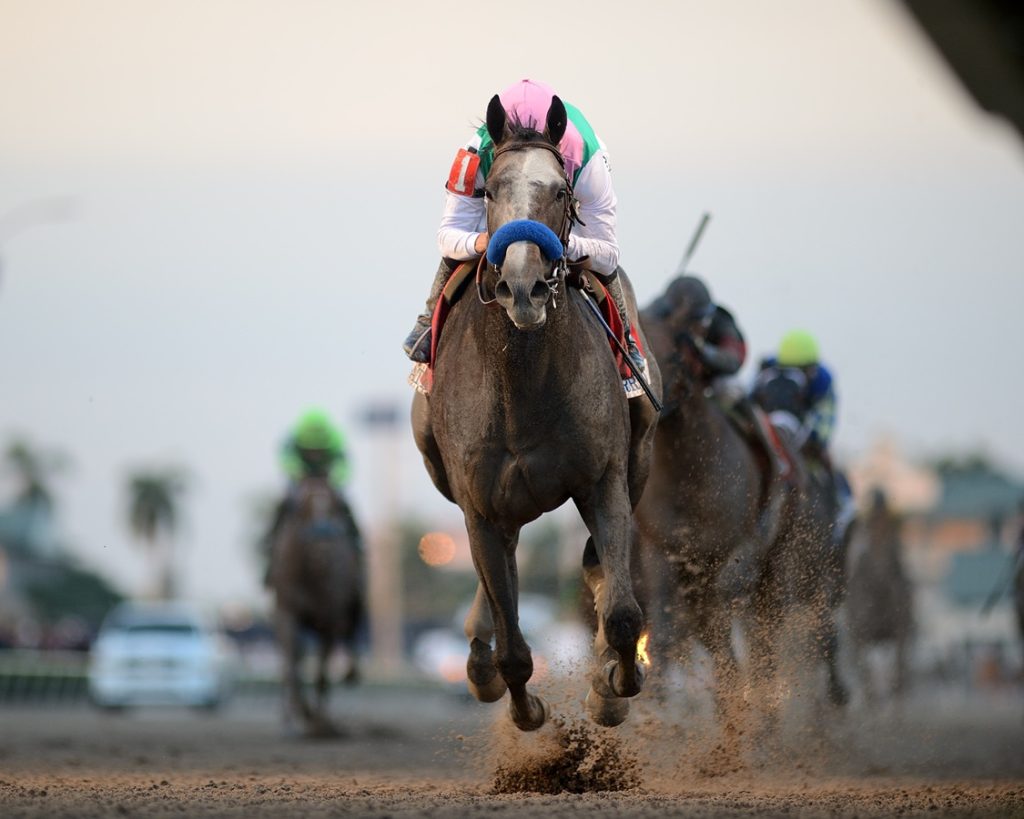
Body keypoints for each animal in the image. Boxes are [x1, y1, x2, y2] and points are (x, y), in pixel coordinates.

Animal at [268, 472, 364, 737]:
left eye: (335, 507)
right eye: (302, 508)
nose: (323, 545)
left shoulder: (329, 620)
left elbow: (321, 674)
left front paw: (319, 721)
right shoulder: (286, 613)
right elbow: (292, 666)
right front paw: (302, 713)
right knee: (292, 662)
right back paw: (290, 715)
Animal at [411, 94, 659, 728]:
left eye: (560, 192)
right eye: (490, 190)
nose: (522, 287)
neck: (521, 390)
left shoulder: (603, 479)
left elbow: (623, 613)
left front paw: (610, 689)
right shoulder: (478, 504)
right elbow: (513, 648)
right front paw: (523, 707)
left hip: (637, 455)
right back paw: (477, 657)